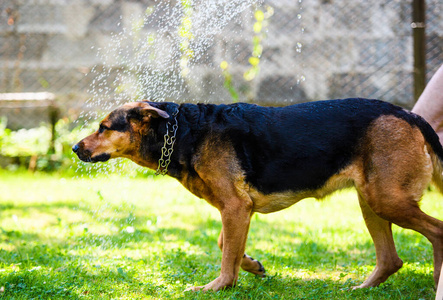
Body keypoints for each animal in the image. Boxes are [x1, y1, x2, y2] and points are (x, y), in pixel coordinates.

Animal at [73, 98, 443, 290]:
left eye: (104, 128)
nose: (75, 147)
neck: (183, 131)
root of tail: (408, 114)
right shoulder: (237, 210)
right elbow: (226, 245)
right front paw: (251, 265)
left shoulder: (235, 207)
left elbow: (226, 259)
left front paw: (217, 288)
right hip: (372, 200)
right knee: (391, 259)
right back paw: (363, 289)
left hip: (387, 200)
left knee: (437, 233)